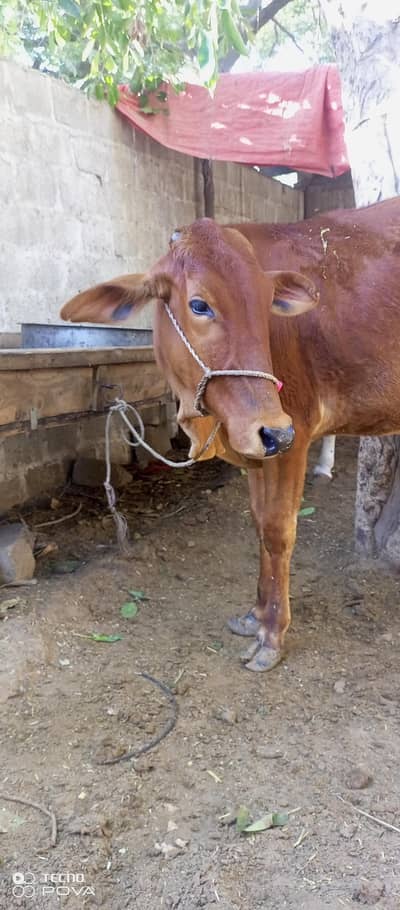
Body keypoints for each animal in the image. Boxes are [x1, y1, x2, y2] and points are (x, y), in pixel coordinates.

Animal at [61, 197, 400, 672]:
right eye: (199, 305)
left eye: (266, 304)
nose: (274, 431)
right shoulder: (258, 443)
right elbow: (258, 523)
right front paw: (254, 615)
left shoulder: (292, 432)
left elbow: (277, 530)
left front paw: (272, 635)